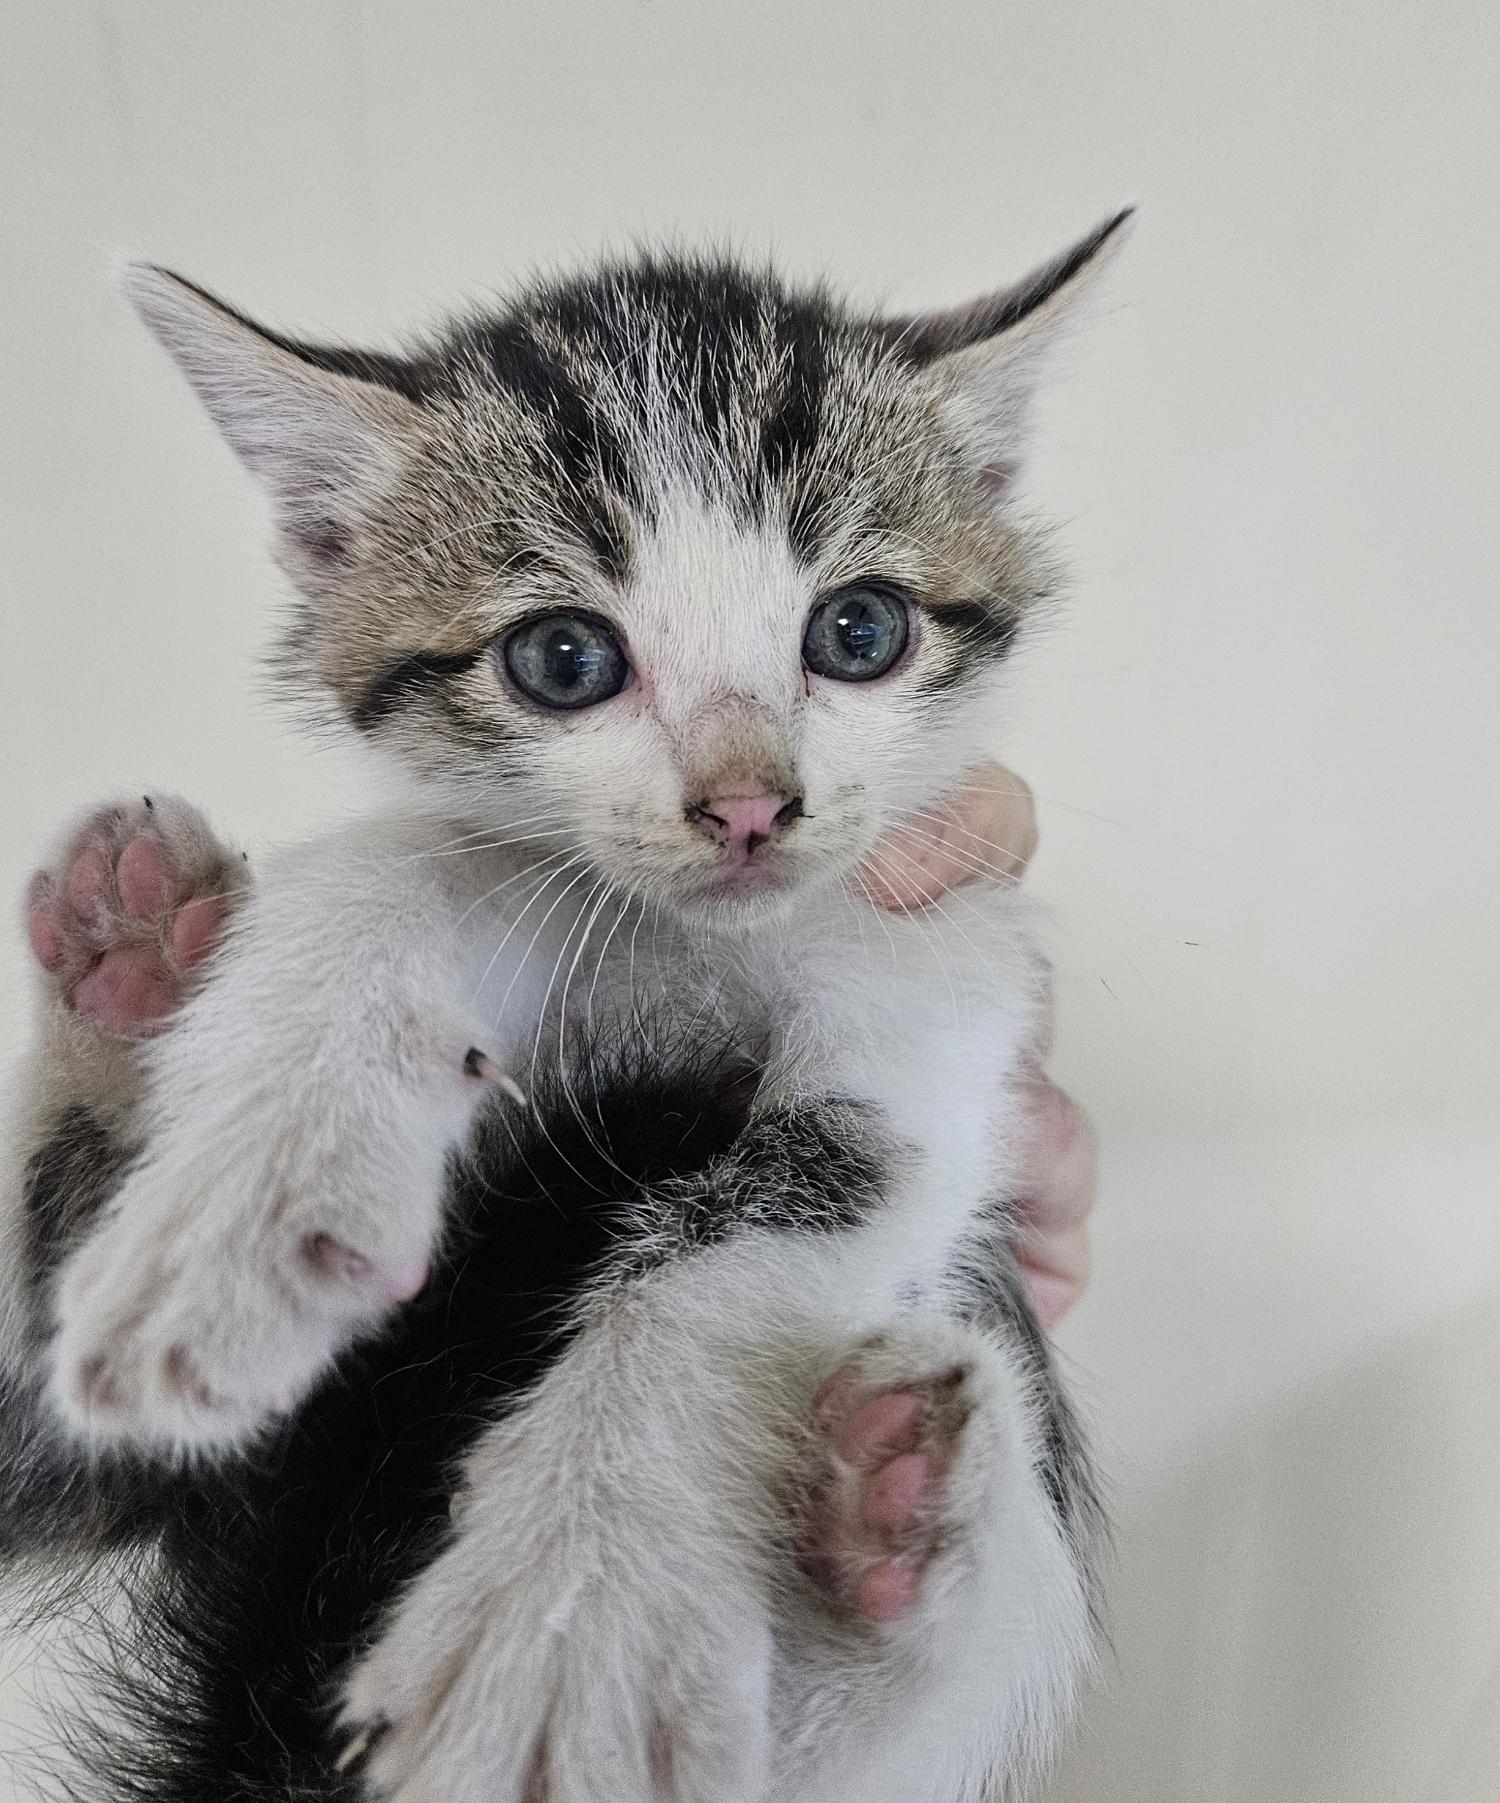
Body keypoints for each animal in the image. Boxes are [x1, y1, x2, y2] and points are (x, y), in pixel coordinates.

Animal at [0, 221, 1125, 1803]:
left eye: (860, 629)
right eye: (564, 658)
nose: (748, 807)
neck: (681, 943)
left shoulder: (936, 979)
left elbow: (799, 1191)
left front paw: (573, 1602)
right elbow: (399, 863)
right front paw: (250, 1201)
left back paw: (884, 1511)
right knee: (62, 1445)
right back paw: (134, 966)